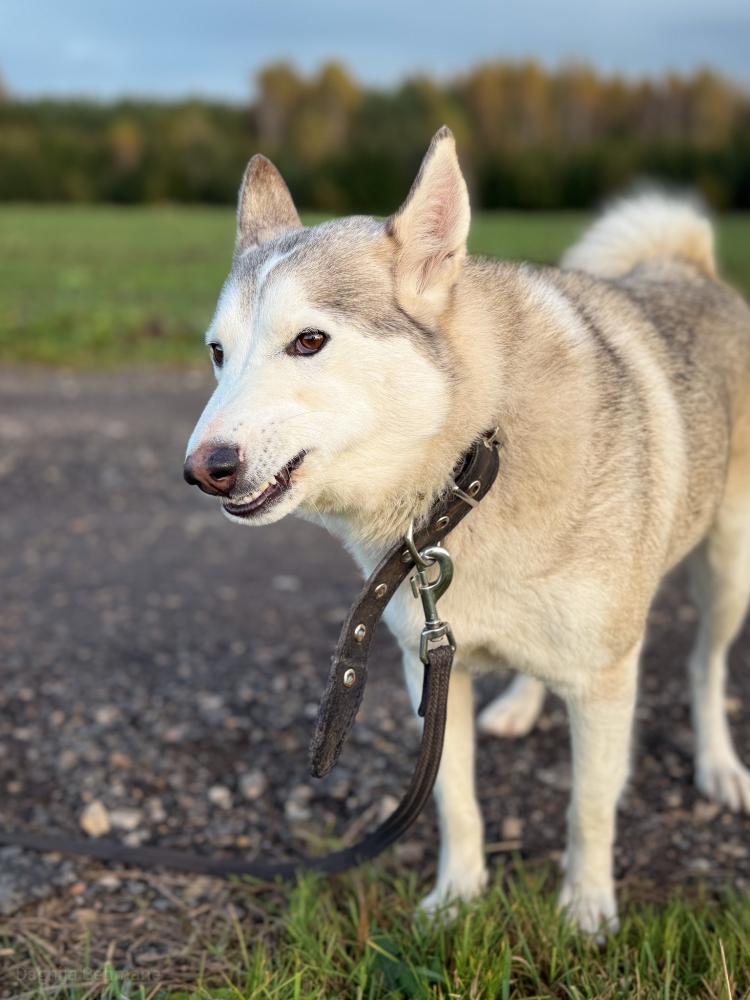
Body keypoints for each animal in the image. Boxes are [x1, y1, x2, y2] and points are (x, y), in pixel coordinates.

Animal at [184, 127, 750, 933]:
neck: (472, 468)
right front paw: (455, 899)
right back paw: (519, 705)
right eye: (217, 353)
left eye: (309, 341)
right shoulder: (427, 666)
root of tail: (686, 265)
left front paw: (586, 911)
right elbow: (455, 804)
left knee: (707, 667)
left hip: (728, 571)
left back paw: (719, 765)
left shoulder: (606, 681)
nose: (203, 470)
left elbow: (589, 811)